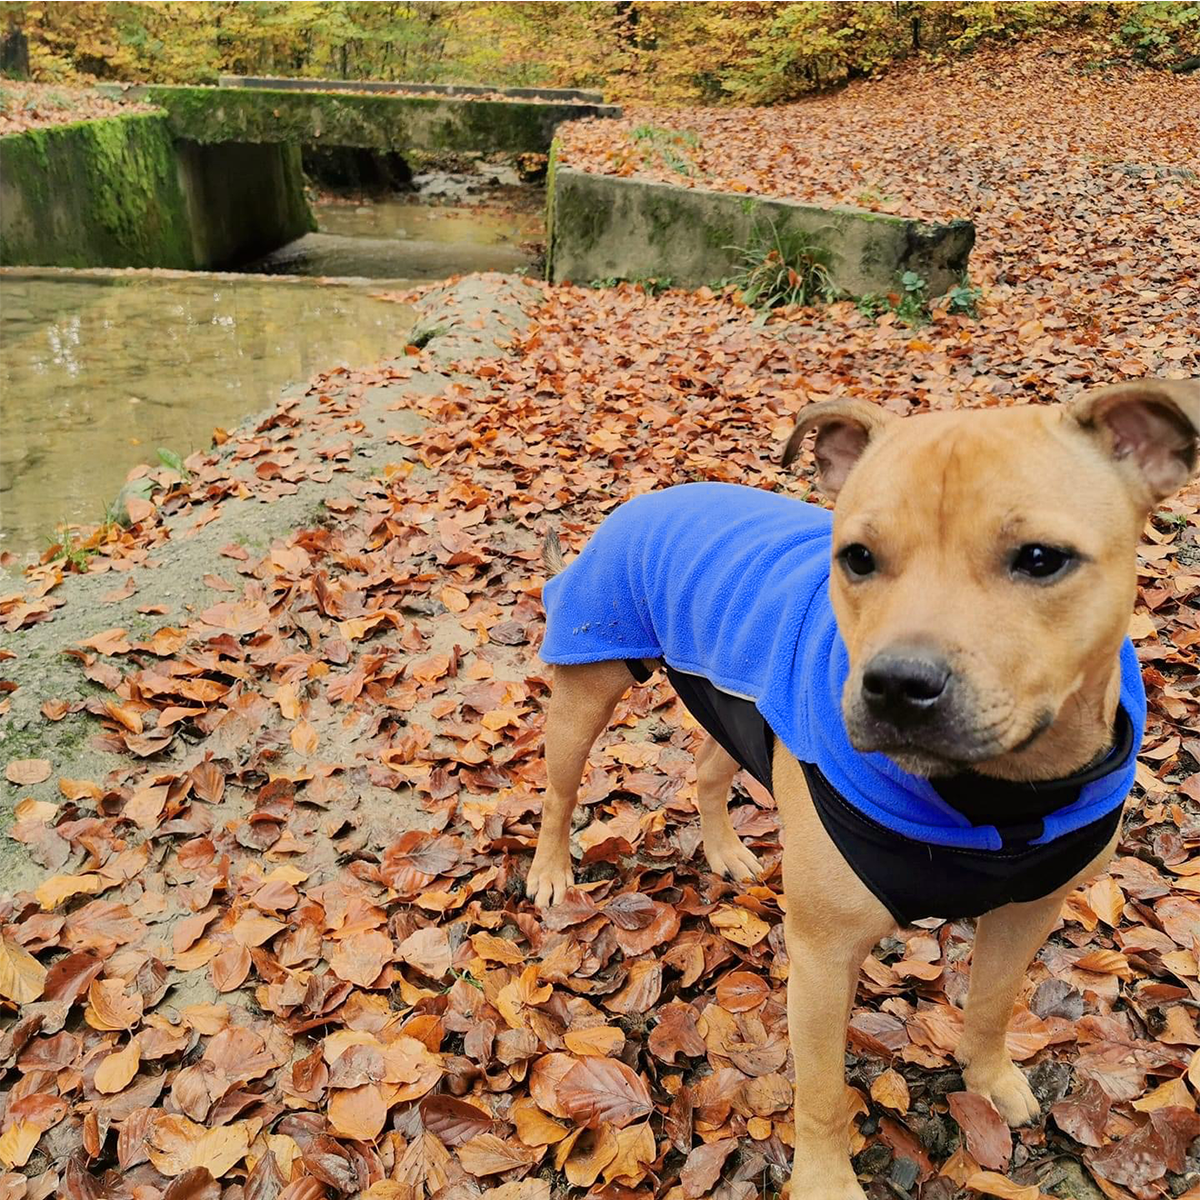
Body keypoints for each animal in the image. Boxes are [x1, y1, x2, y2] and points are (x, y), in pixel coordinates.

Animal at [532, 379, 1200, 1195]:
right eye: (856, 557)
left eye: (1042, 559)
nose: (898, 684)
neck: (994, 797)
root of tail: (650, 497)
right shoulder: (822, 959)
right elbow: (820, 1093)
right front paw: (825, 1178)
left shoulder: (1029, 911)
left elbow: (991, 1003)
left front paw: (990, 1078)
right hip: (588, 684)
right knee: (559, 789)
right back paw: (551, 871)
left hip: (739, 712)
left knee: (707, 772)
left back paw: (725, 852)